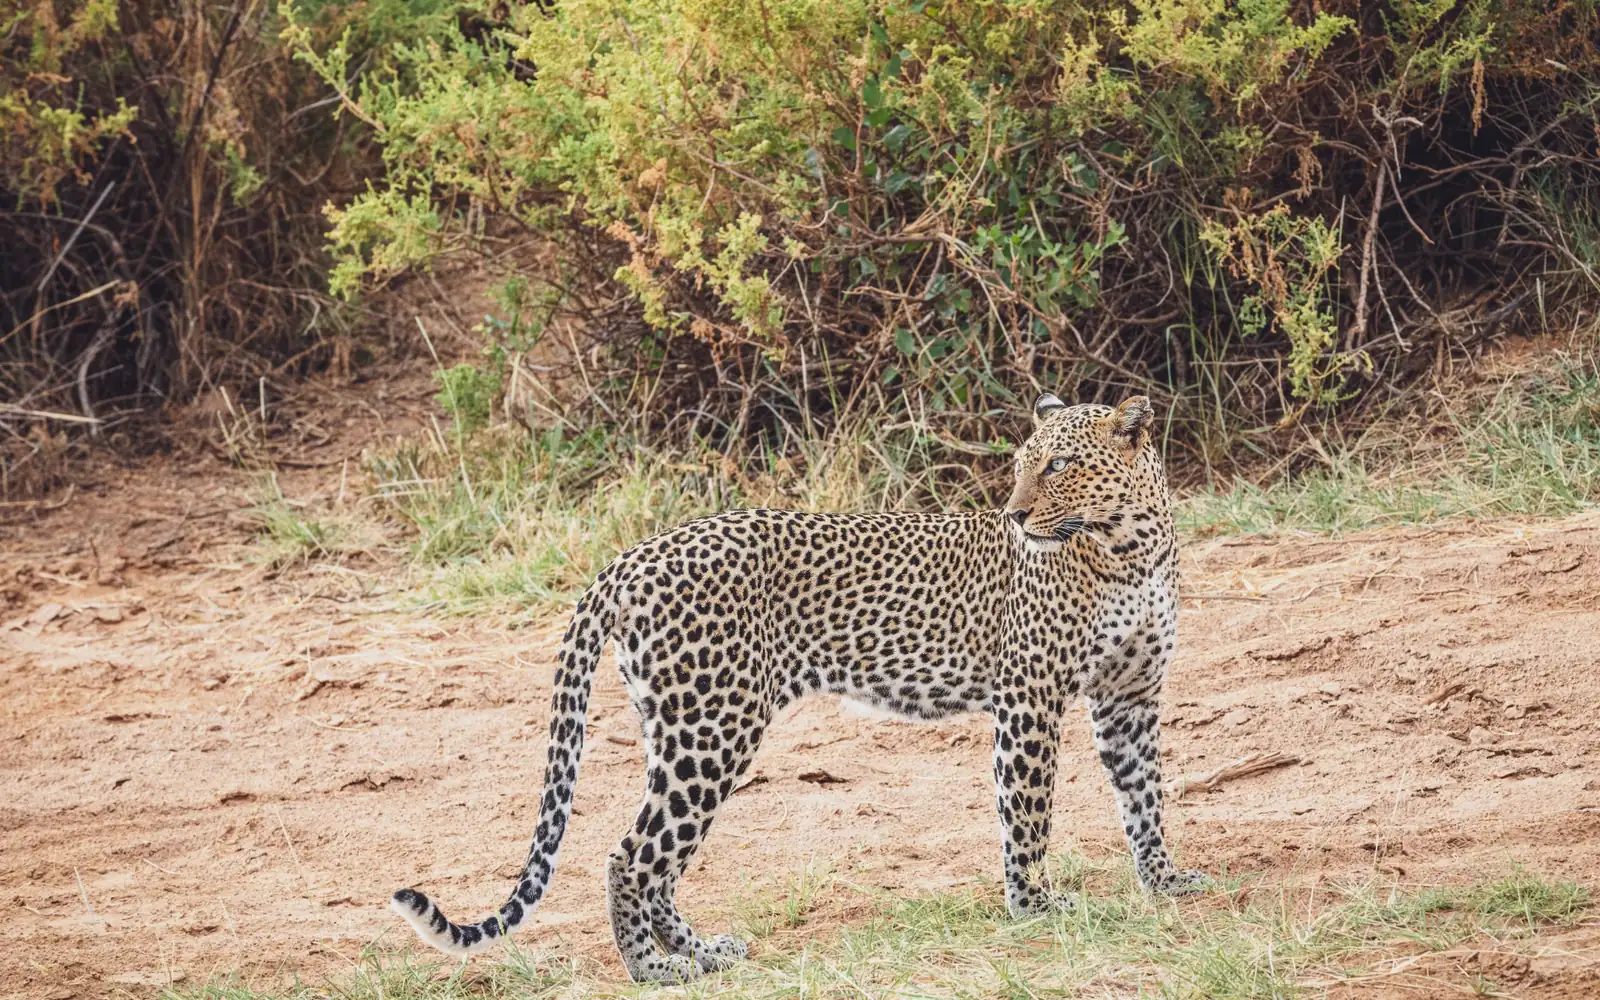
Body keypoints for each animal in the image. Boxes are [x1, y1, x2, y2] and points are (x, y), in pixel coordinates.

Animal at [390, 392, 1209, 981]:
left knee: (658, 863)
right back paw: (655, 971)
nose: (1015, 514)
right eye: (1020, 466)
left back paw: (701, 952)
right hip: (713, 729)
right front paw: (1035, 905)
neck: (1129, 550)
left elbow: (1145, 798)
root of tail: (631, 556)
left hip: (678, 728)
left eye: (1060, 464)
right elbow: (1029, 814)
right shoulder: (1031, 696)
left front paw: (1164, 881)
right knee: (633, 857)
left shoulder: (1130, 698)